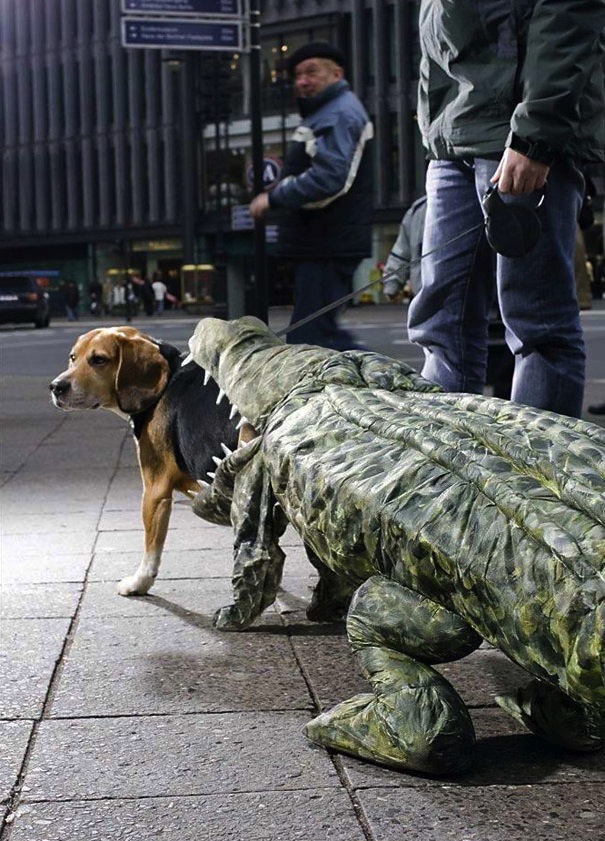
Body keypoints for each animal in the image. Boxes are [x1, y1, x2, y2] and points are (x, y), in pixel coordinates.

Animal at [48, 324, 244, 592]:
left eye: (99, 360)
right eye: (73, 357)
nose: (56, 387)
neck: (166, 382)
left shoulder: (155, 490)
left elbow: (151, 547)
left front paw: (139, 583)